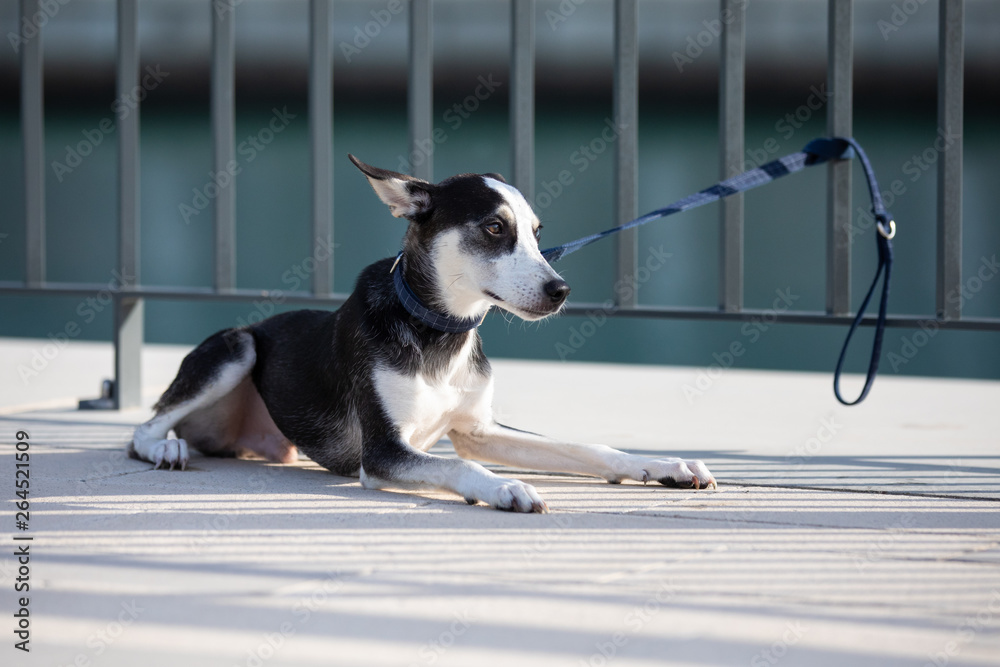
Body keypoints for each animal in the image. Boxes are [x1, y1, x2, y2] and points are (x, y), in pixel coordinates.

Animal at [129, 155, 716, 512]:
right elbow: (460, 465)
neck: (442, 334)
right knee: (145, 427)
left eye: (536, 233)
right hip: (237, 346)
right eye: (494, 227)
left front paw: (664, 465)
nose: (560, 290)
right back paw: (167, 449)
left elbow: (585, 447)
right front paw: (505, 486)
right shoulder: (384, 453)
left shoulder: (478, 428)